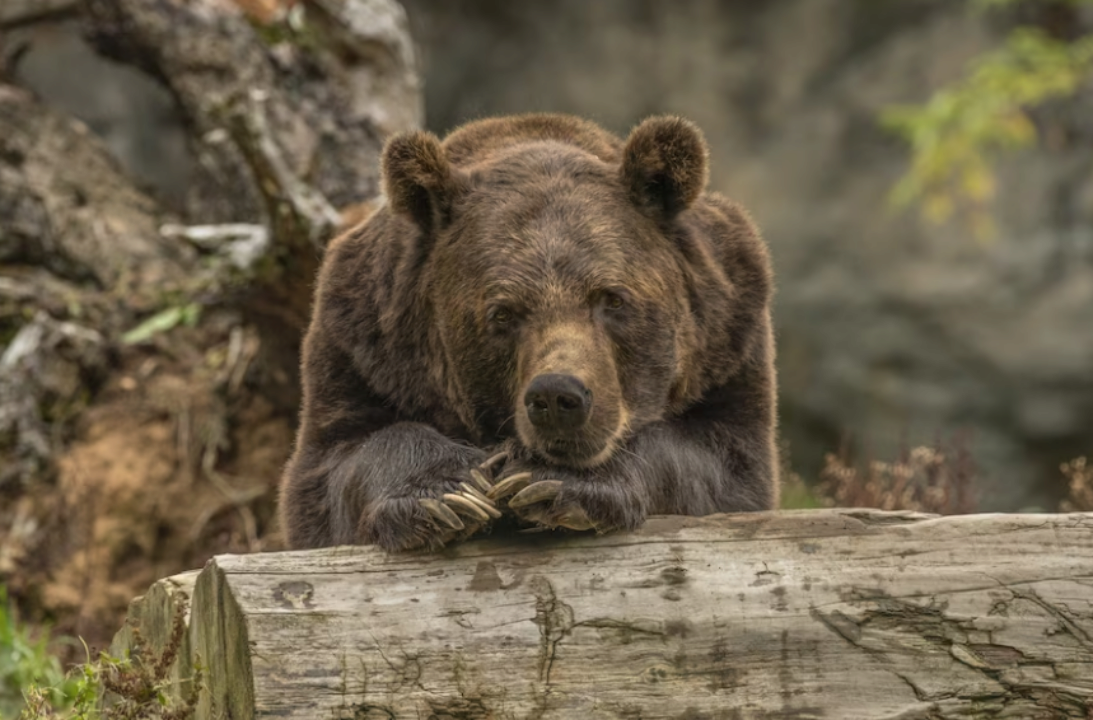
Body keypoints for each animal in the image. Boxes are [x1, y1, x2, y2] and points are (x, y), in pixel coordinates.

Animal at [281, 112, 778, 552]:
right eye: (503, 313)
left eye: (612, 298)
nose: (558, 397)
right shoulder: (363, 348)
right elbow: (335, 466)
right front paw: (449, 494)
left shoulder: (728, 341)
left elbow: (721, 464)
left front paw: (551, 481)